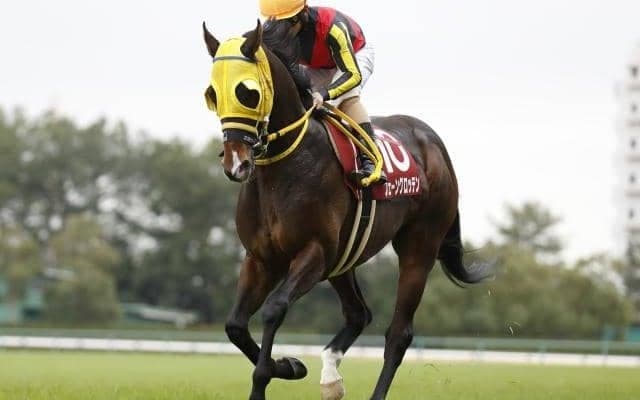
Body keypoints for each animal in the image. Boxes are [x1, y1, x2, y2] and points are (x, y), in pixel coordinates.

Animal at [202, 20, 492, 400]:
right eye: (212, 94)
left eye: (246, 92)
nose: (236, 164)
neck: (284, 167)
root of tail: (433, 142)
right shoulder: (261, 258)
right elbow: (235, 325)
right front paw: (290, 366)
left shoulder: (314, 252)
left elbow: (274, 309)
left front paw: (267, 376)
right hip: (344, 258)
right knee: (358, 314)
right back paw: (330, 377)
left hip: (419, 246)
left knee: (398, 332)